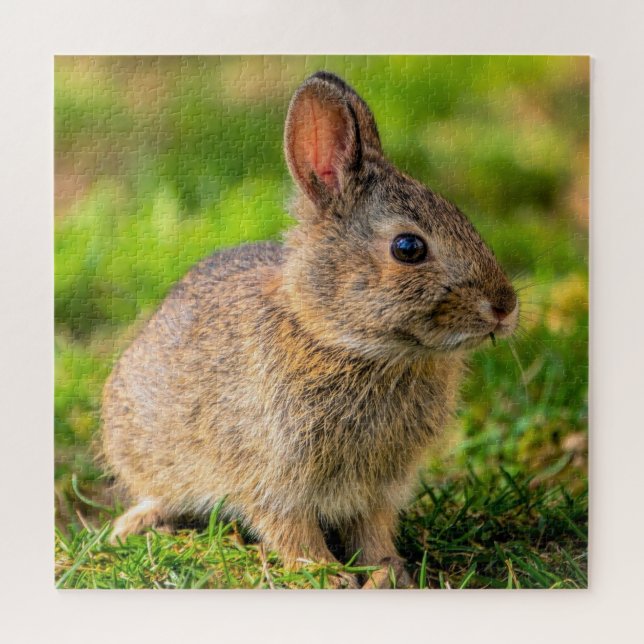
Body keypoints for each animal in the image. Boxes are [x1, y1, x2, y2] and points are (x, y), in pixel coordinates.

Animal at [101, 71, 519, 589]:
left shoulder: (377, 489)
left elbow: (373, 530)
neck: (343, 342)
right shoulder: (272, 476)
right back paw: (135, 524)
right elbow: (290, 528)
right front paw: (327, 574)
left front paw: (388, 572)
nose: (505, 307)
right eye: (408, 248)